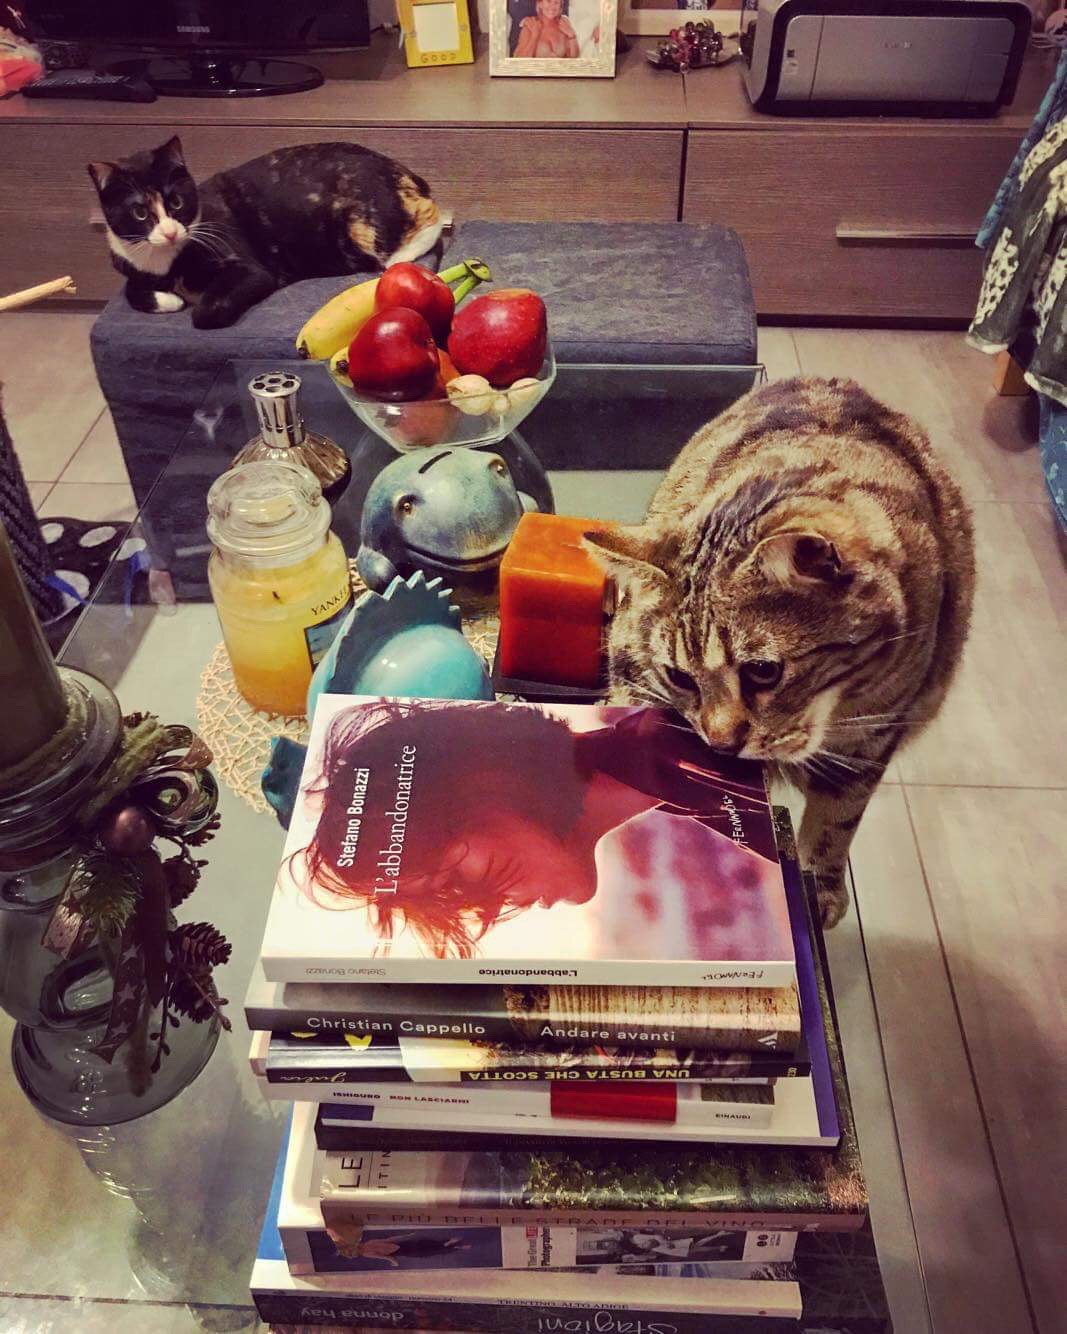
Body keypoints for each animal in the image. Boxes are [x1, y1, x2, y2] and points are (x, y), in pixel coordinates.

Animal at [87, 137, 442, 329]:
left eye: (175, 202)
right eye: (140, 213)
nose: (171, 232)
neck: (166, 263)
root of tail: (411, 176)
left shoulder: (252, 271)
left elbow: (205, 311)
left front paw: (187, 303)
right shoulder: (129, 266)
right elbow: (131, 290)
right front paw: (167, 300)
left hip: (365, 228)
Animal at [584, 376, 975, 927]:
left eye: (763, 671)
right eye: (680, 677)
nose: (721, 744)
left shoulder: (874, 736)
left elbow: (838, 819)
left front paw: (818, 889)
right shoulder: (633, 669)